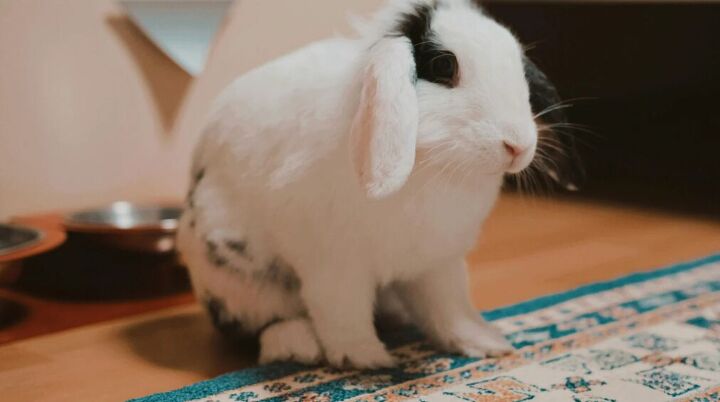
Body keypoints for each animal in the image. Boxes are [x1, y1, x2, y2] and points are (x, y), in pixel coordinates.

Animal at [177, 0, 572, 369]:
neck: (434, 166)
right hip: (239, 279)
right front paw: (366, 359)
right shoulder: (334, 263)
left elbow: (450, 308)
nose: (517, 145)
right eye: (444, 66)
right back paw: (298, 345)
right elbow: (342, 311)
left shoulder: (438, 263)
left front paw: (487, 343)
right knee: (266, 322)